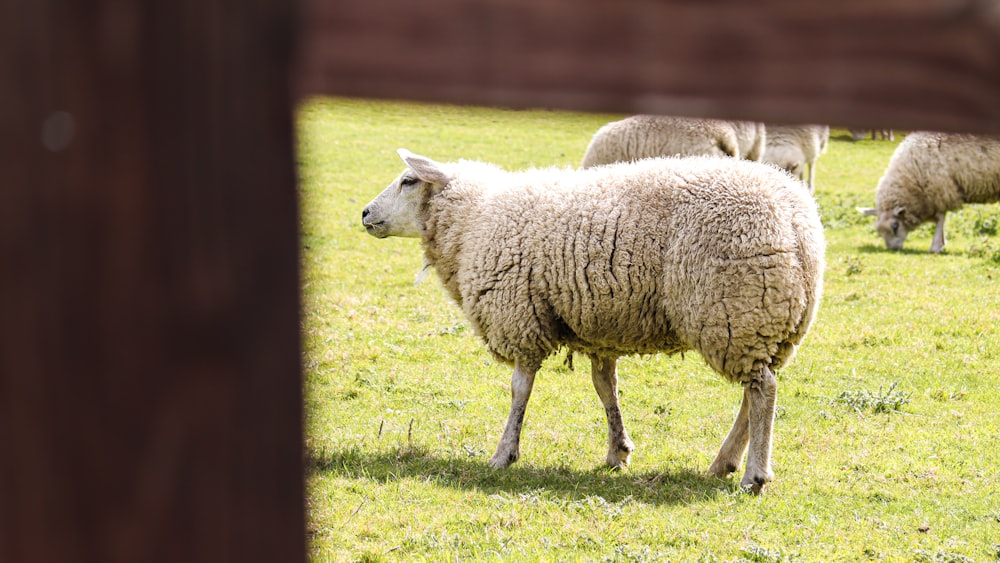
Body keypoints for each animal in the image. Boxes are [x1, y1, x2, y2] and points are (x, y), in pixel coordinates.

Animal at [364, 149, 824, 494]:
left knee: (763, 391)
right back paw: (723, 463)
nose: (365, 214)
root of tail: (797, 215)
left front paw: (503, 454)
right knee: (754, 392)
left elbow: (519, 390)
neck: (472, 220)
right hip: (762, 322)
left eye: (408, 181)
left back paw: (754, 475)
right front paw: (617, 451)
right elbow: (606, 389)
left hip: (734, 310)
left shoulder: (521, 317)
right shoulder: (599, 327)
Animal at [856, 131, 1000, 252]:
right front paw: (942, 243)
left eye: (895, 226)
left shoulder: (940, 189)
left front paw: (936, 246)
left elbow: (940, 218)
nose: (893, 250)